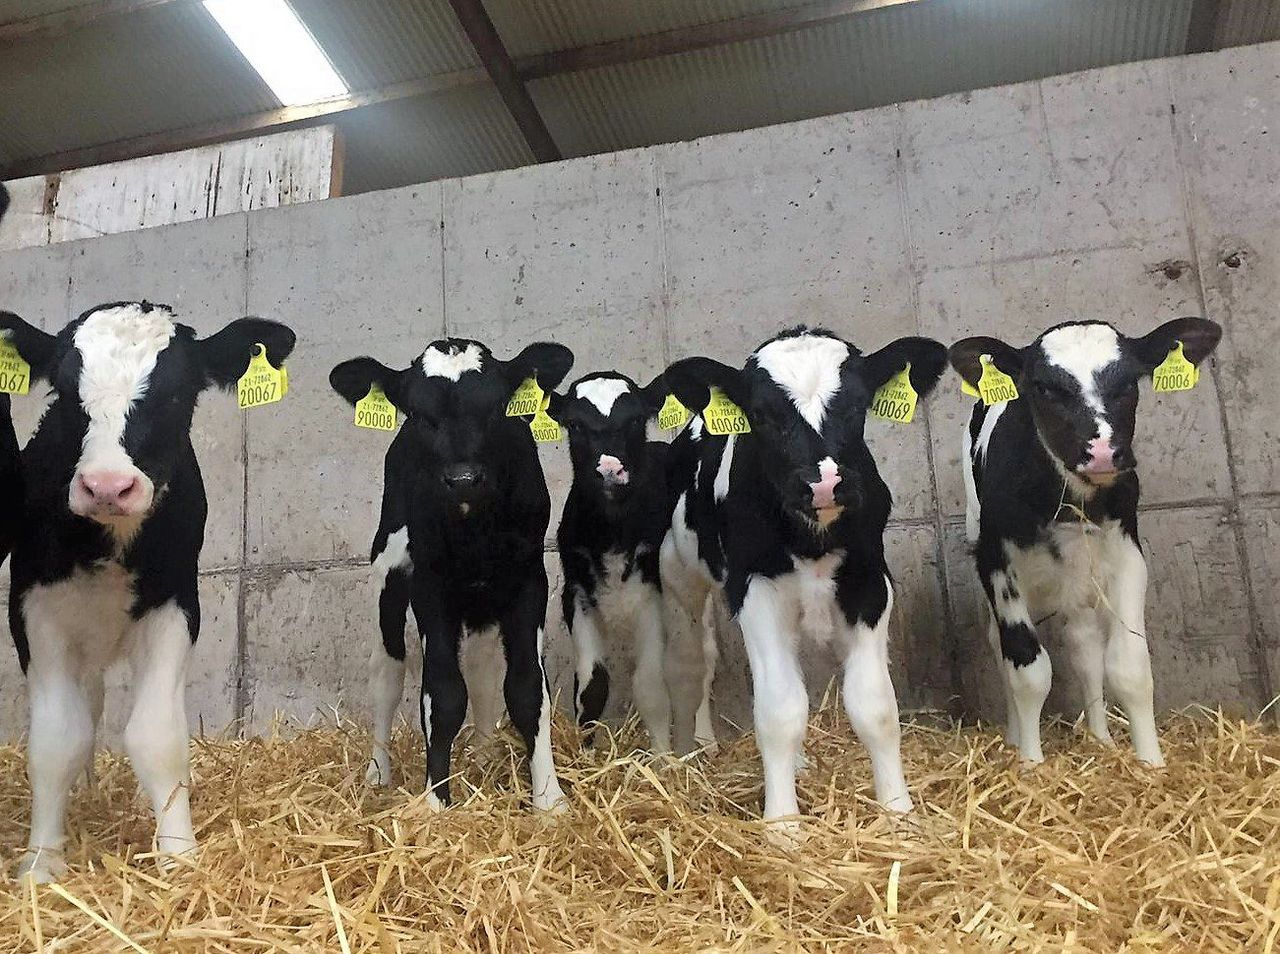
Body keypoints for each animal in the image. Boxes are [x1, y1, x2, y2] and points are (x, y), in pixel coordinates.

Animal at [1, 302, 296, 883]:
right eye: (64, 391)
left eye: (177, 394)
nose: (107, 486)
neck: (110, 546)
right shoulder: (33, 609)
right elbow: (56, 739)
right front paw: (41, 865)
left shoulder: (176, 604)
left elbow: (157, 735)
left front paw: (178, 855)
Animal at [329, 337, 573, 812]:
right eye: (419, 412)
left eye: (497, 407)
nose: (462, 478)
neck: (474, 530)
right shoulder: (429, 585)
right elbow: (443, 694)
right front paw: (435, 801)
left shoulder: (529, 580)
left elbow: (527, 688)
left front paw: (549, 800)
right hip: (388, 570)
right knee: (387, 670)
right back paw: (377, 772)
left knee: (481, 669)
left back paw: (483, 753)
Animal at [549, 371, 678, 749]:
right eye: (575, 424)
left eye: (634, 419)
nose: (609, 469)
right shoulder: (576, 592)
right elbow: (592, 686)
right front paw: (583, 753)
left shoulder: (655, 592)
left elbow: (650, 686)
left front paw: (663, 756)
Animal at [660, 326, 947, 837]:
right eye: (762, 414)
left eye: (857, 404)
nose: (824, 482)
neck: (812, 538)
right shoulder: (755, 591)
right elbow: (778, 710)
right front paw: (783, 825)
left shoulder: (869, 584)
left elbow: (874, 706)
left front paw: (897, 811)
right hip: (681, 575)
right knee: (696, 660)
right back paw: (697, 746)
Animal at [949, 317, 1222, 766]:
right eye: (1044, 387)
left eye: (1128, 381)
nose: (1103, 452)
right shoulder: (996, 562)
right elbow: (1028, 669)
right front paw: (1031, 764)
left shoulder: (1128, 553)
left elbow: (1129, 666)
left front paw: (1151, 763)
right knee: (999, 644)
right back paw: (1014, 738)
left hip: (1080, 574)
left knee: (1085, 646)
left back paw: (1100, 738)